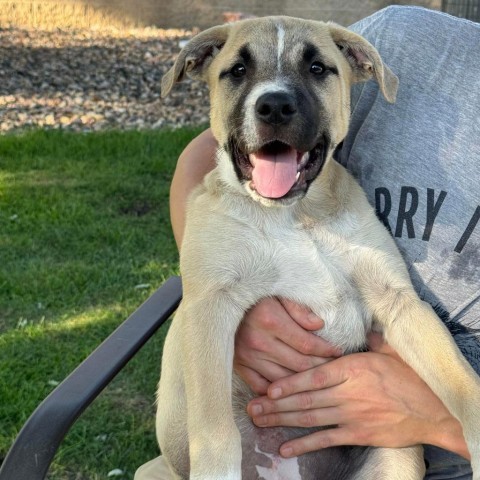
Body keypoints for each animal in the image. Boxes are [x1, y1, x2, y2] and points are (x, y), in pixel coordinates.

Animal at [158, 15, 480, 480]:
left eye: (317, 68)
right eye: (237, 70)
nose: (274, 107)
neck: (296, 217)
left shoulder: (399, 301)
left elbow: (461, 380)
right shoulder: (209, 306)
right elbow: (215, 431)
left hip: (397, 458)